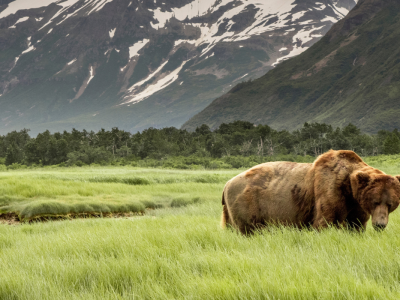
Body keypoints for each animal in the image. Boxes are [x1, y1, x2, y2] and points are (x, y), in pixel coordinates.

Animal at [220, 150, 400, 234]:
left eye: (390, 204)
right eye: (375, 201)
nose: (380, 225)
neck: (349, 189)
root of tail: (227, 183)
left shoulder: (355, 206)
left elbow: (355, 225)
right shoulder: (329, 191)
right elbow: (324, 222)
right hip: (248, 202)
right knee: (247, 229)